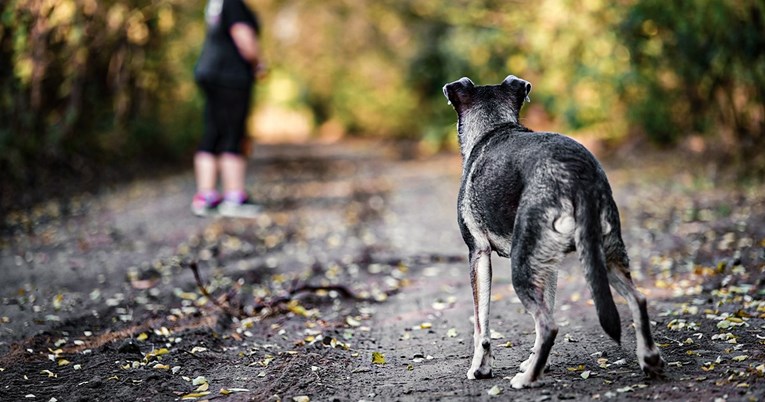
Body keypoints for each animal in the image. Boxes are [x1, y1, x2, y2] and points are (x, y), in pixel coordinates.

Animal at [442, 76, 664, 390]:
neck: (494, 127)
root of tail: (576, 173)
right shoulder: (549, 264)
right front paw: (537, 360)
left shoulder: (478, 253)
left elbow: (481, 325)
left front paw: (481, 368)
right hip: (601, 254)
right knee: (638, 299)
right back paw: (650, 359)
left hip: (522, 266)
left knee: (549, 325)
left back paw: (527, 379)